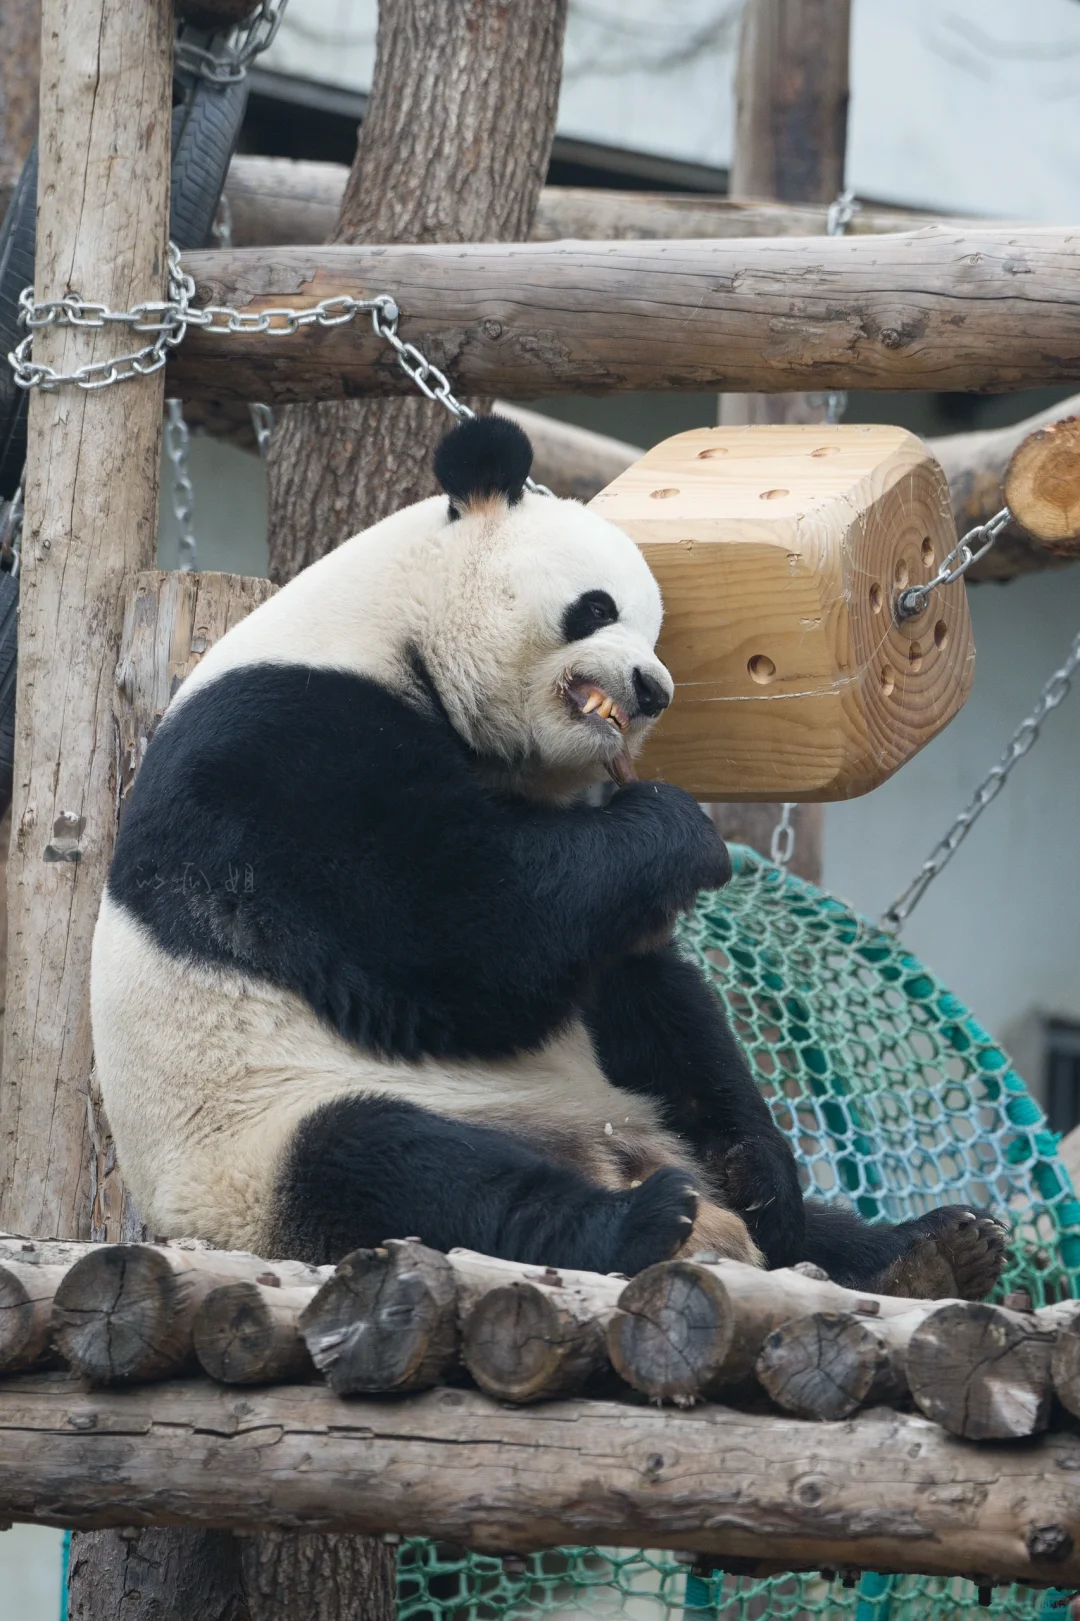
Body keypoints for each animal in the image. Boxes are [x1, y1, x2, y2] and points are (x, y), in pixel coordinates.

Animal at [90, 411, 998, 1296]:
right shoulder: (281, 750)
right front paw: (683, 830)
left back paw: (926, 1244)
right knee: (393, 1165)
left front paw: (765, 1170)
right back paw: (637, 1221)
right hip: (256, 1146)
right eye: (596, 607)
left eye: (658, 629)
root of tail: (604, 1153)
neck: (394, 628)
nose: (653, 689)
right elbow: (461, 931)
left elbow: (641, 987)